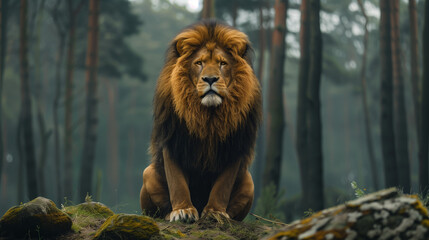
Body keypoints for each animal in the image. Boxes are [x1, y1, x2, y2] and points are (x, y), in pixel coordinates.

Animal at [140, 21, 260, 223]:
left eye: (222, 63)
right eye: (199, 63)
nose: (210, 79)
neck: (208, 116)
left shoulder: (235, 145)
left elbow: (223, 186)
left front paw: (215, 212)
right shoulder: (173, 139)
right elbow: (177, 182)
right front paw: (183, 211)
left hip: (249, 181)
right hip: (148, 172)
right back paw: (169, 214)